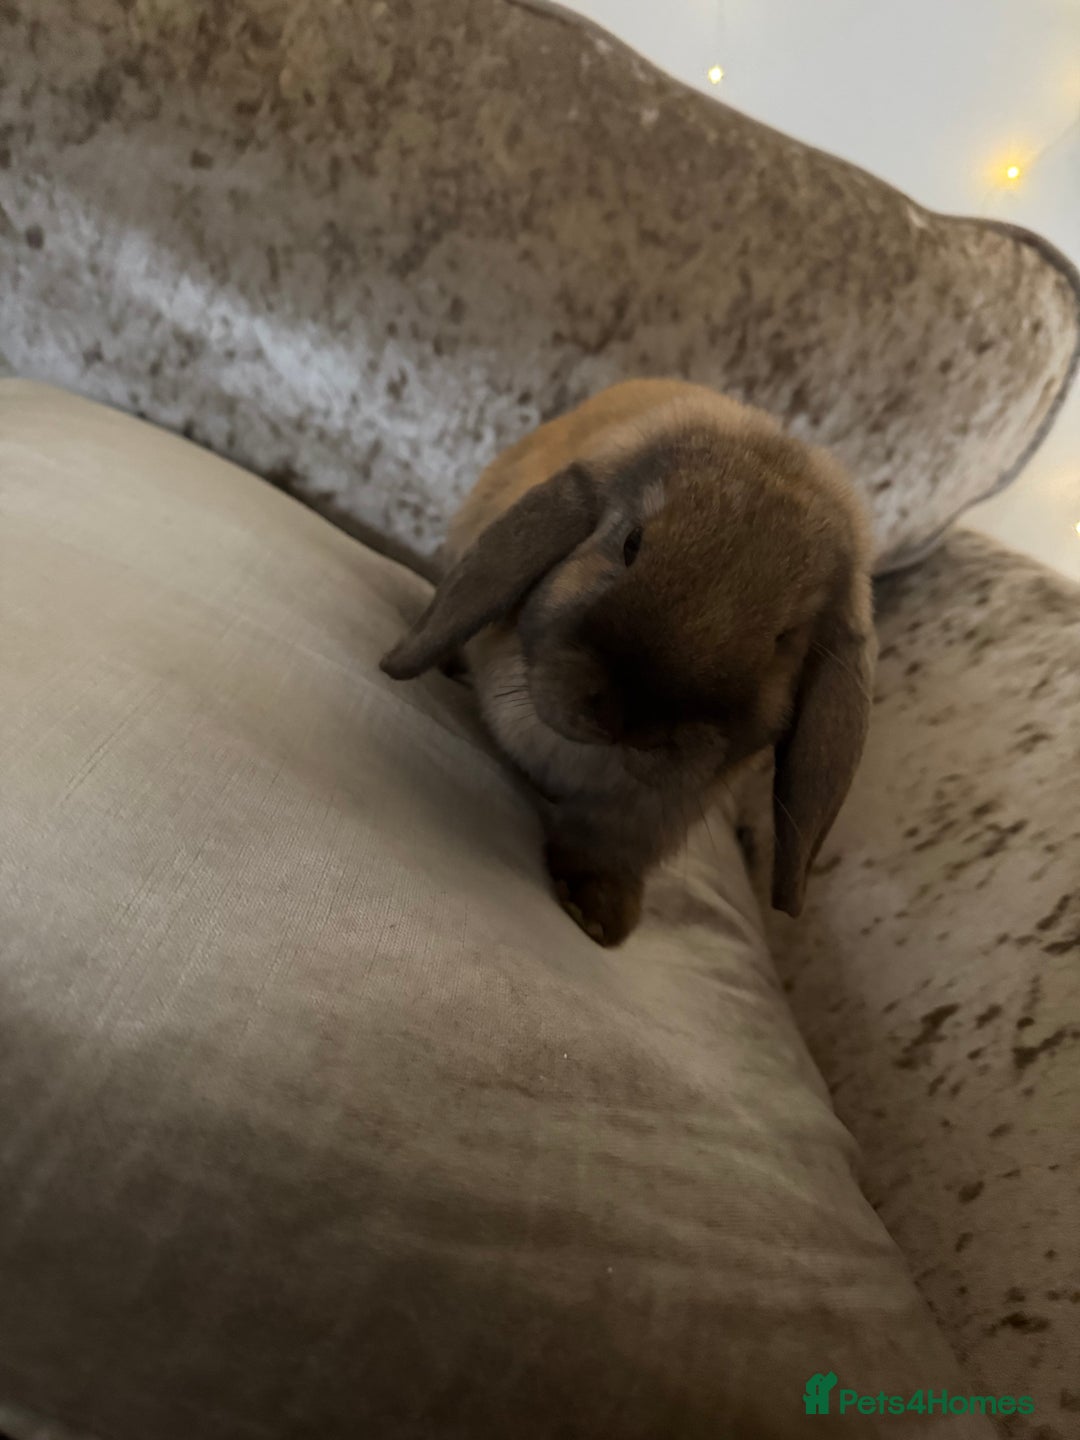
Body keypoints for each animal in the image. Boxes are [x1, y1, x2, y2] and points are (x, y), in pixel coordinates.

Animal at [381, 378, 876, 947]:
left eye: (785, 638)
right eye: (630, 543)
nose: (633, 715)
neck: (588, 759)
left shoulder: (655, 810)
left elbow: (607, 845)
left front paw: (597, 915)